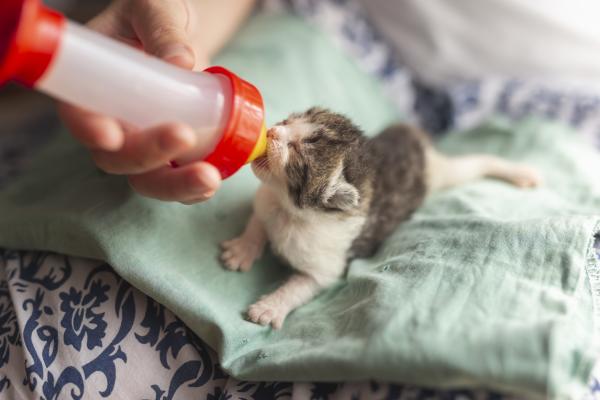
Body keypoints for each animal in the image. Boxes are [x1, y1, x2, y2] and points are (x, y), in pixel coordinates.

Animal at [221, 106, 544, 328]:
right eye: (289, 121)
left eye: (296, 151)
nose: (272, 131)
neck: (289, 211)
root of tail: (413, 135)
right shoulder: (267, 201)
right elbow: (257, 222)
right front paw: (242, 250)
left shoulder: (325, 267)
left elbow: (300, 286)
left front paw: (270, 307)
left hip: (439, 174)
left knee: (475, 164)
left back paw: (519, 172)